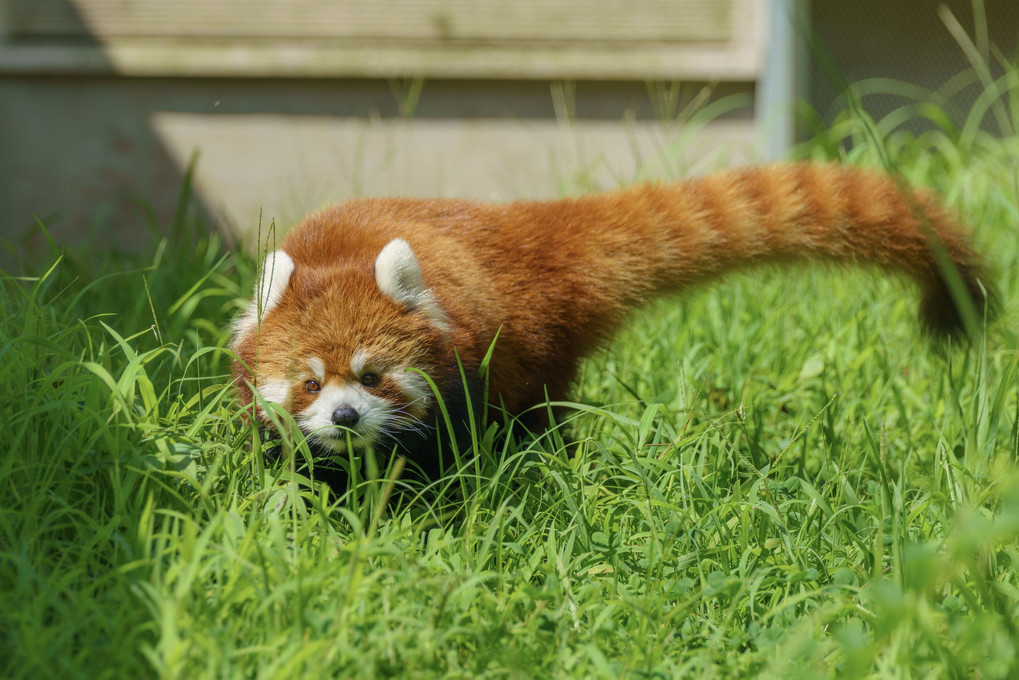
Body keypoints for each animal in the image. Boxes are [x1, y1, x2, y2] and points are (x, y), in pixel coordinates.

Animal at [231, 163, 994, 477]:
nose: (345, 419)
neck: (340, 253)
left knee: (534, 422)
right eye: (310, 383)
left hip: (529, 357)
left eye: (372, 376)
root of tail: (519, 228)